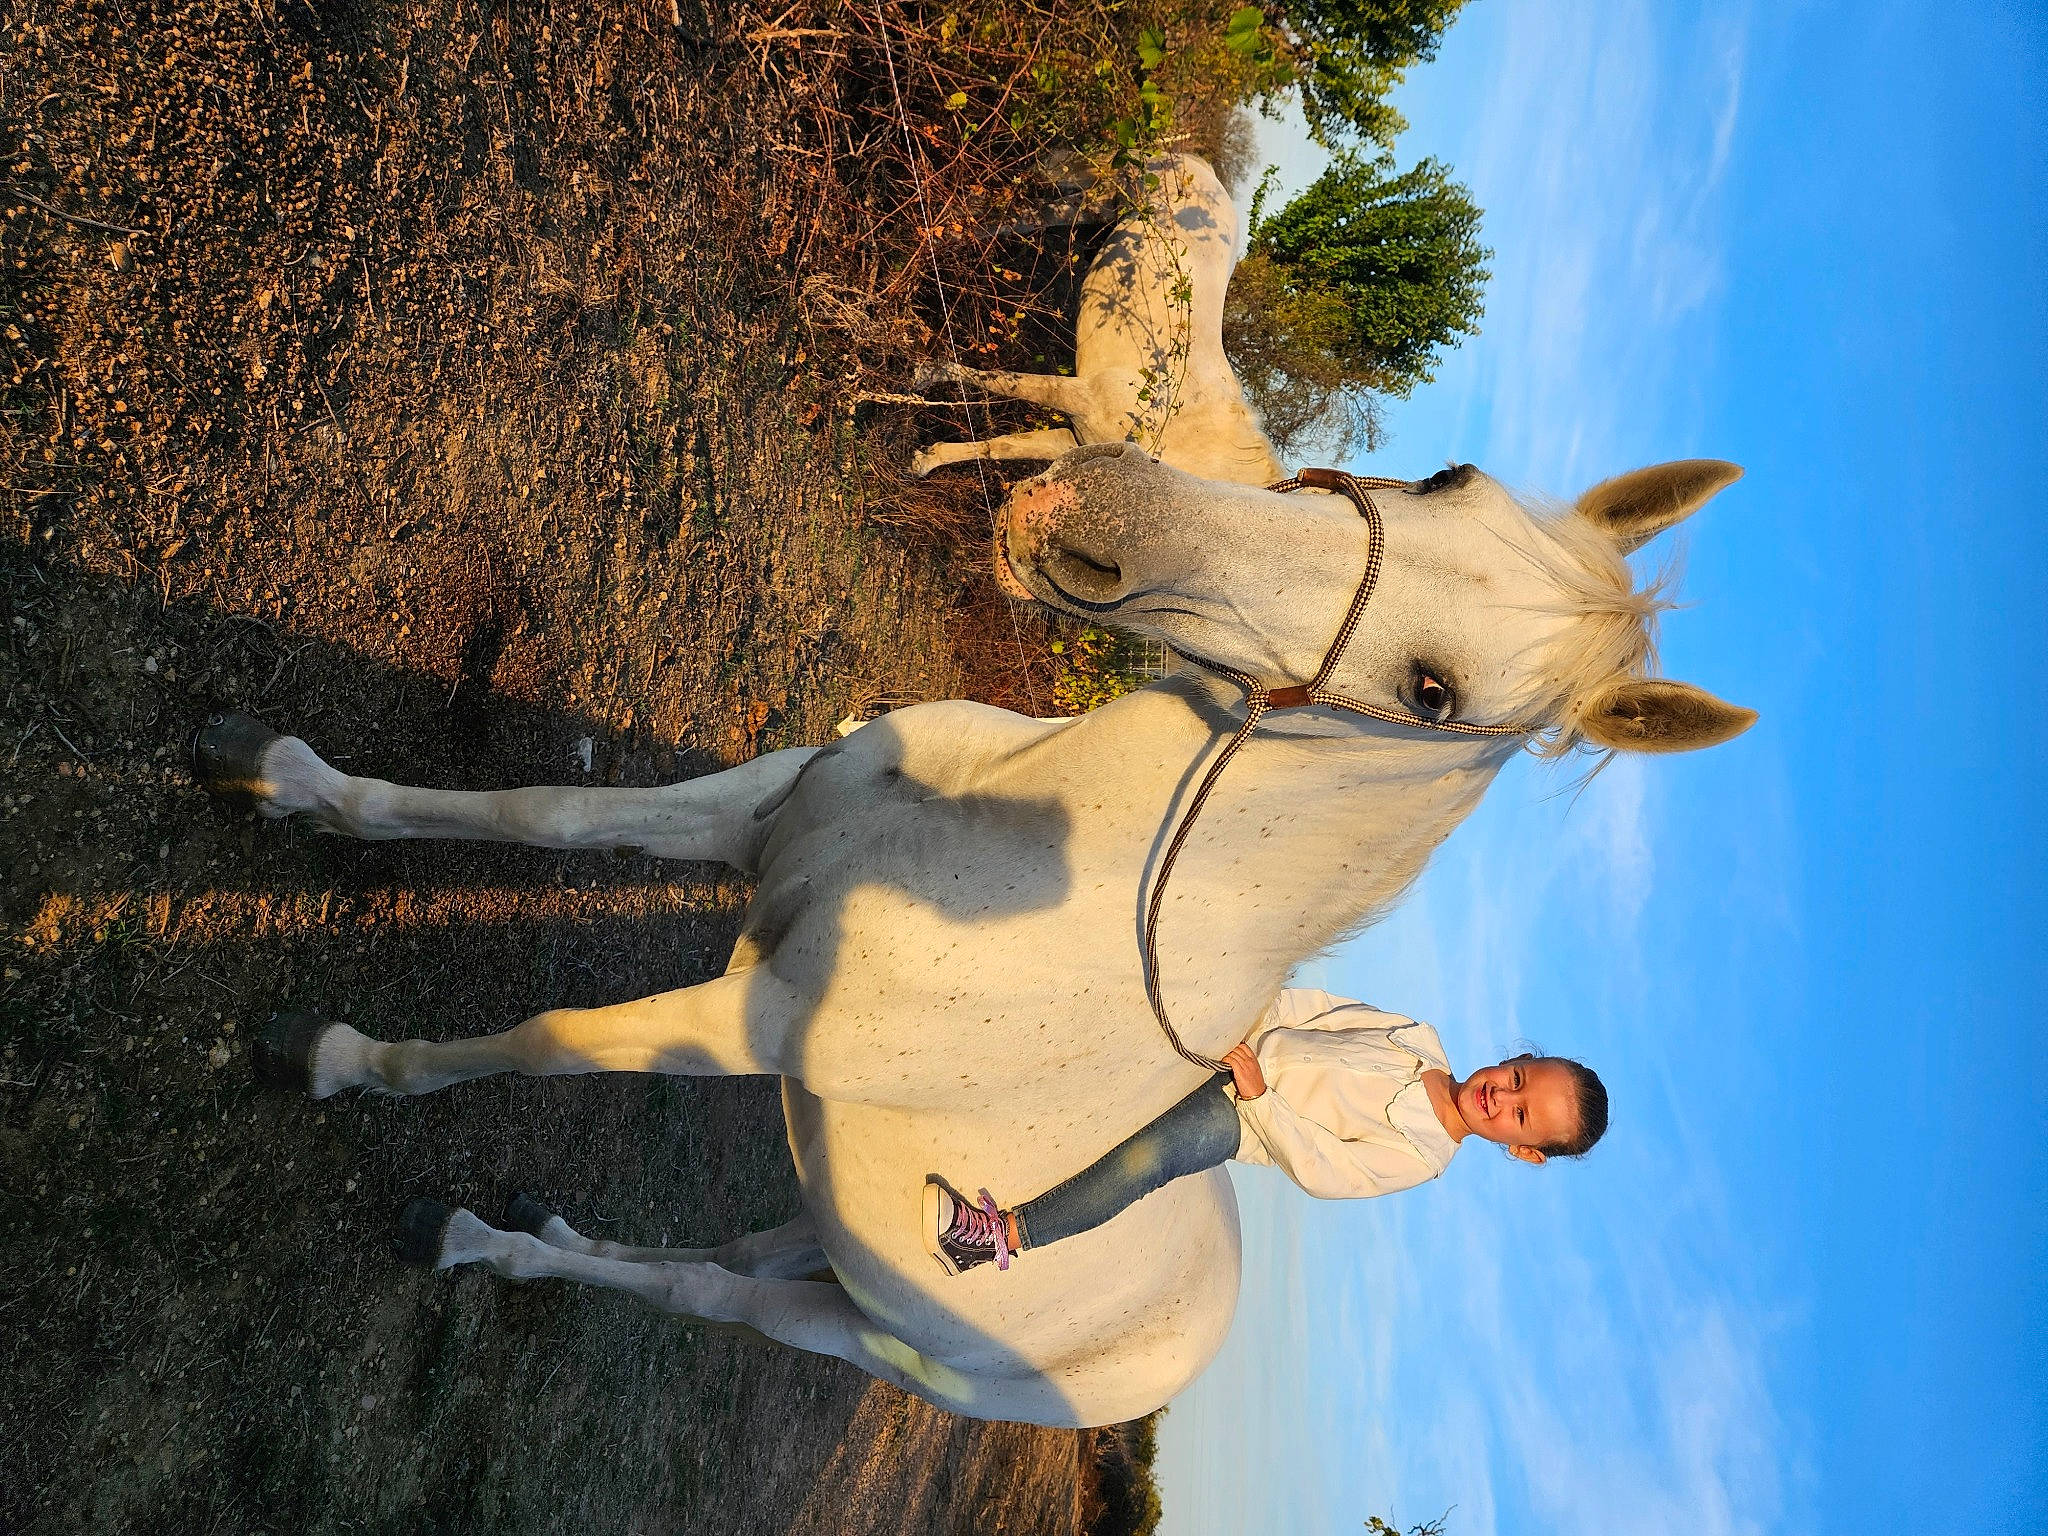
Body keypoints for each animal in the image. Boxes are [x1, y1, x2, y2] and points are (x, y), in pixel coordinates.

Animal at [198, 443, 1754, 1427]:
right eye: (1444, 482)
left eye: (1437, 695)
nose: (1091, 502)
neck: (1033, 858)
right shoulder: (756, 812)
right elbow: (545, 814)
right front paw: (289, 780)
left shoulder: (748, 1020)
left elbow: (542, 1039)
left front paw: (332, 1059)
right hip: (837, 1233)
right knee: (747, 1246)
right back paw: (533, 1229)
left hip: (860, 1339)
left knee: (715, 1290)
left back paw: (476, 1240)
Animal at [910, 155, 1285, 485]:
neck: (1190, 436)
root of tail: (1207, 175)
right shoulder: (1080, 395)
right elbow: (1005, 382)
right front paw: (925, 374)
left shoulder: (1074, 438)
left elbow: (1003, 446)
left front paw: (927, 460)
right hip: (1113, 186)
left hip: (1104, 206)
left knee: (1044, 213)